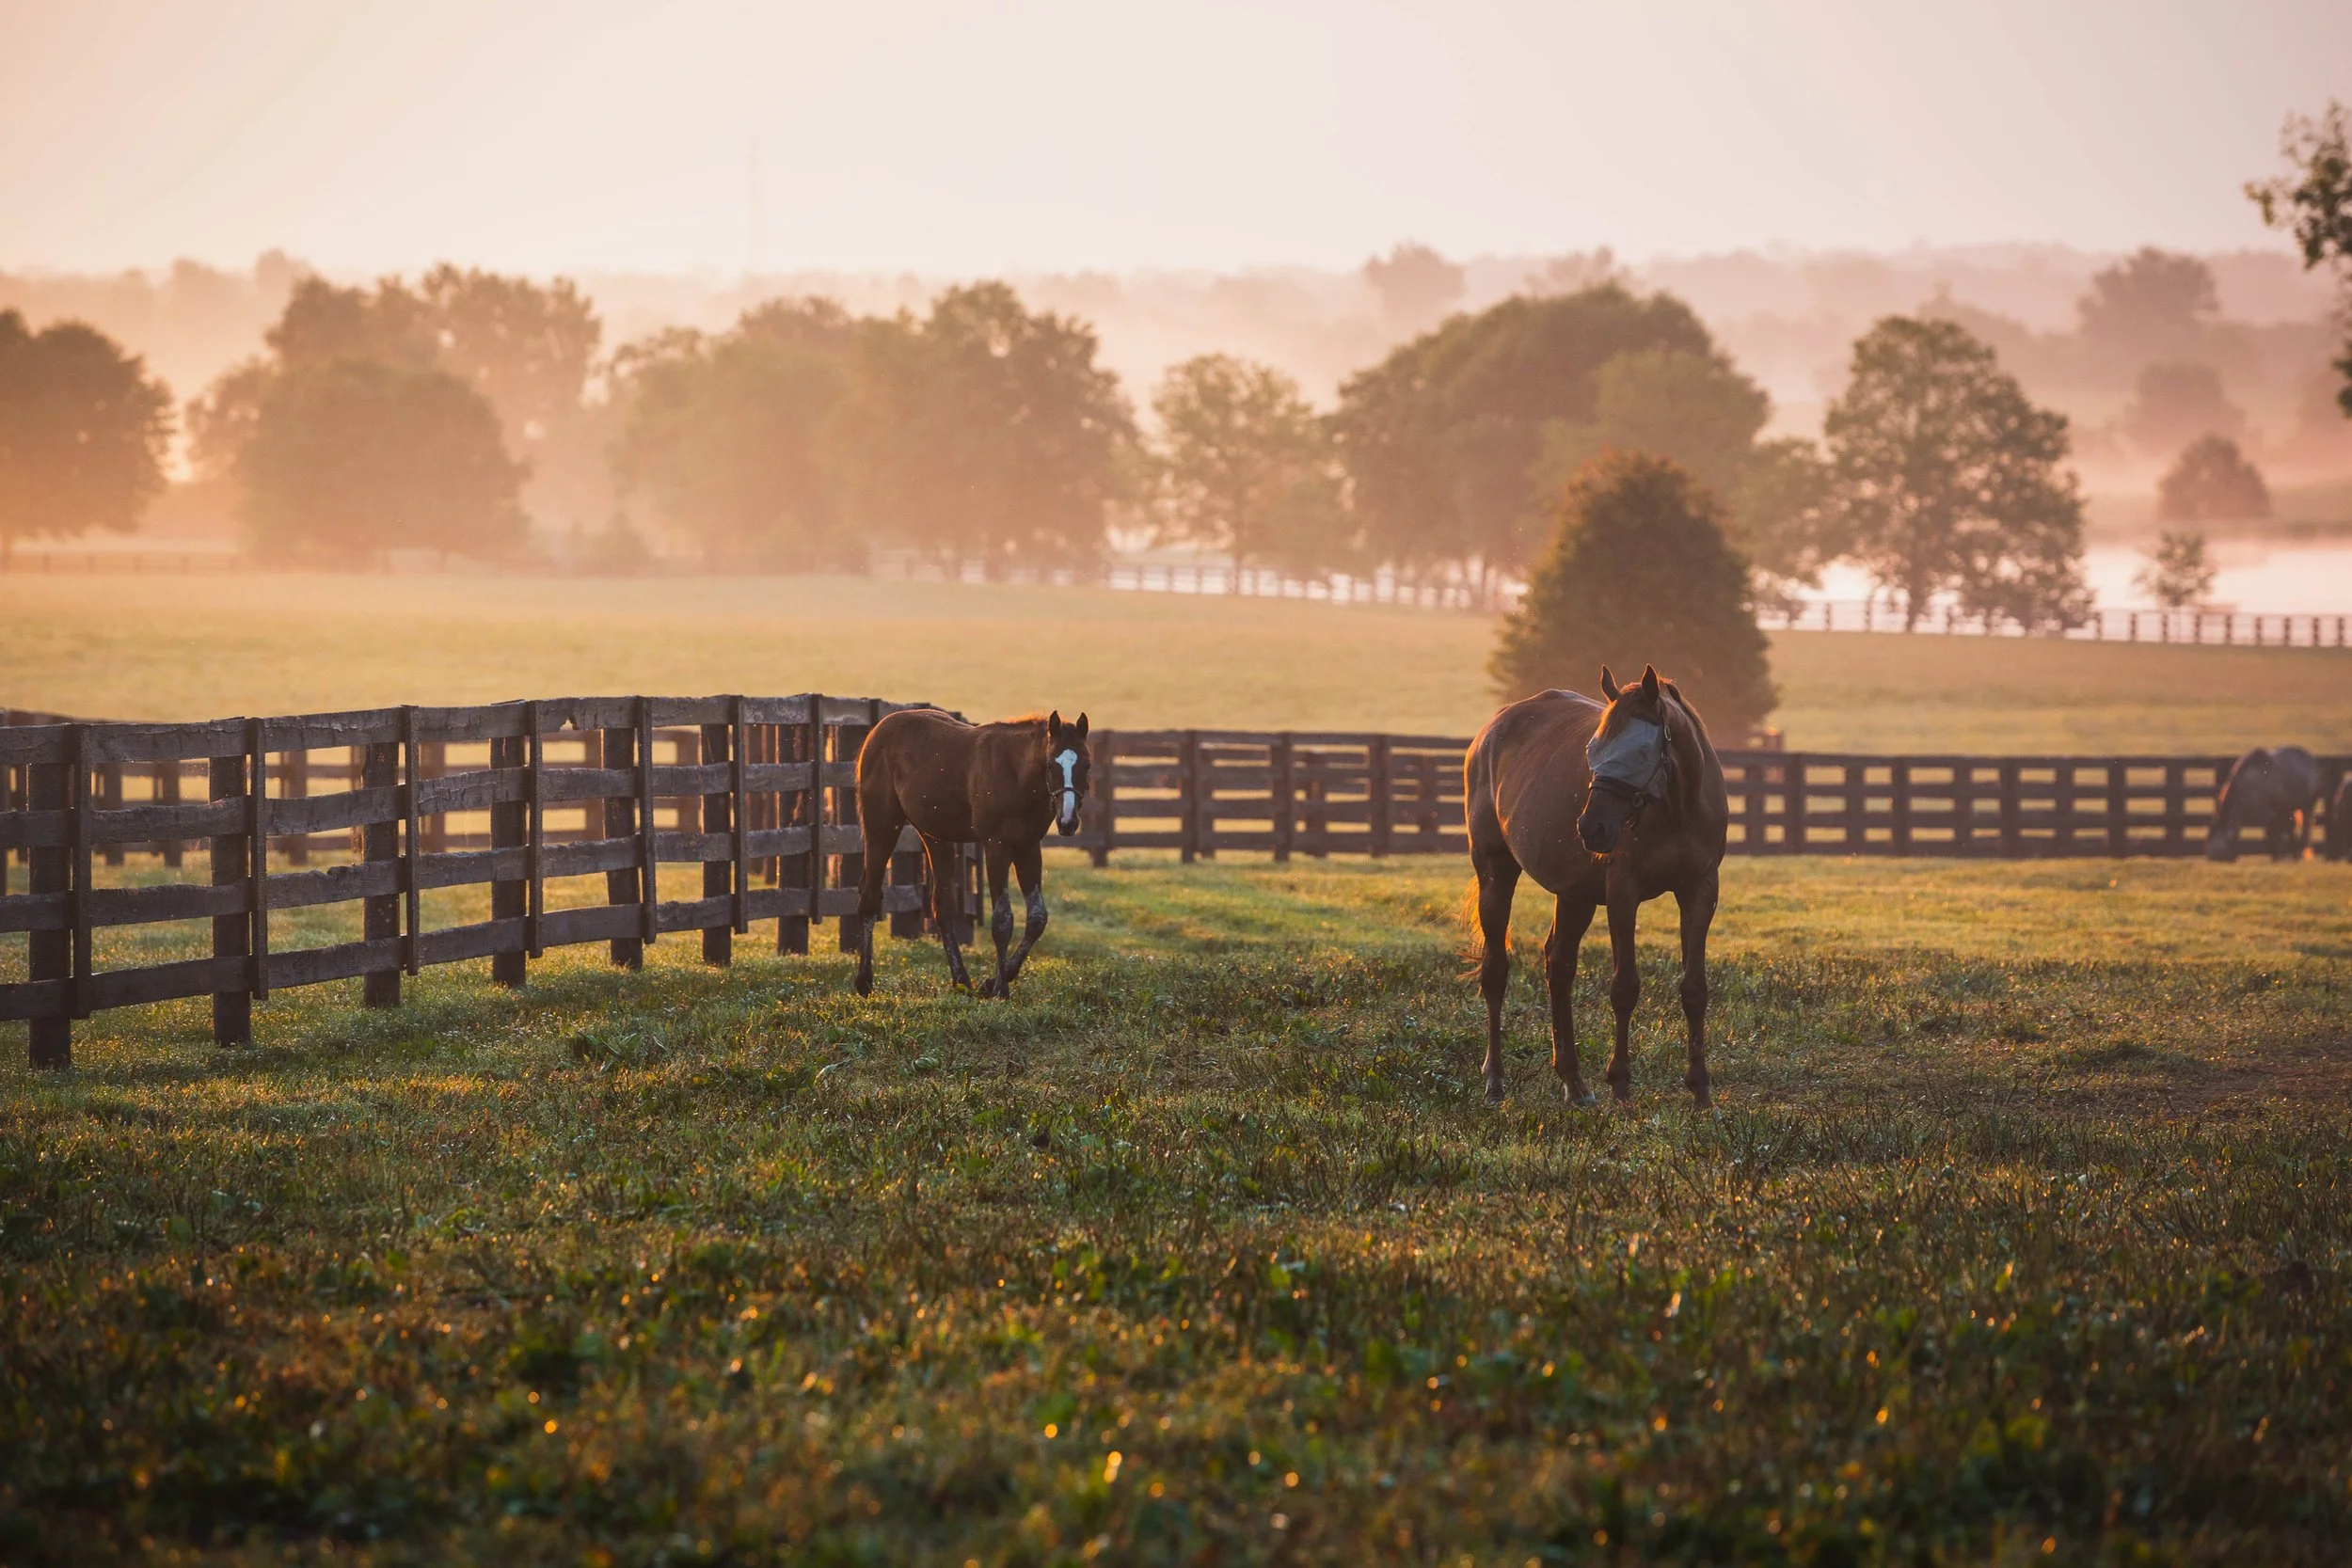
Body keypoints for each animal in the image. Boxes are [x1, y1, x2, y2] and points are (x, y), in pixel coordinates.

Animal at [852, 708, 1092, 999]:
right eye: (1050, 765)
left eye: (1087, 765)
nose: (1068, 822)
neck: (1016, 775)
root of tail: (877, 731)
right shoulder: (996, 845)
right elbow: (1002, 919)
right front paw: (999, 989)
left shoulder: (1028, 847)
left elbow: (1037, 917)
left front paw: (992, 981)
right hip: (882, 825)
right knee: (869, 897)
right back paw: (864, 982)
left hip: (936, 838)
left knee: (942, 906)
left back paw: (961, 981)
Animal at [1465, 665, 1729, 1109]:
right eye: (1593, 749)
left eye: (1637, 751)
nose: (1592, 827)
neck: (1676, 807)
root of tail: (1490, 730)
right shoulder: (1623, 893)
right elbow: (1624, 988)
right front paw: (1620, 1086)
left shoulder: (1701, 891)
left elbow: (1694, 990)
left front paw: (1700, 1091)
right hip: (1495, 876)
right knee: (1496, 972)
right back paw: (1495, 1080)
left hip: (1575, 895)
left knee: (1559, 968)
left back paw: (1574, 1083)